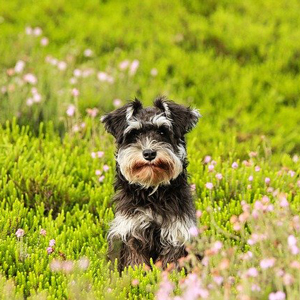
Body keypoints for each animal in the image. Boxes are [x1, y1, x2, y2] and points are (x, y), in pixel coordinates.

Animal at [101, 97, 202, 270]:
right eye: (134, 133)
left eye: (162, 131)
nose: (149, 153)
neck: (152, 192)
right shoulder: (132, 233)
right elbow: (136, 264)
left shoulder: (176, 234)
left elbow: (170, 264)